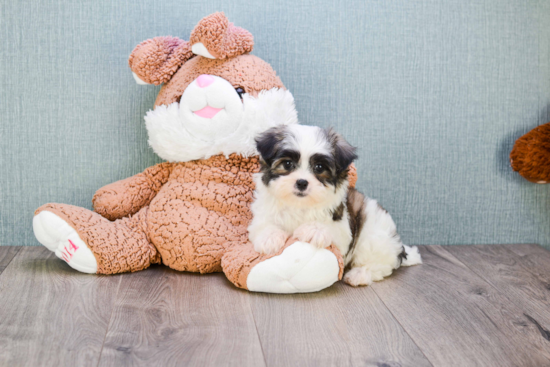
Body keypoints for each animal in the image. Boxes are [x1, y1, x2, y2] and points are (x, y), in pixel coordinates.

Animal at [250, 125, 422, 286]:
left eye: (319, 167)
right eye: (287, 164)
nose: (302, 182)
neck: (300, 204)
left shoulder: (343, 229)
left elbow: (331, 230)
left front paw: (314, 230)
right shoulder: (262, 214)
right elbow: (264, 225)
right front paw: (270, 238)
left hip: (374, 237)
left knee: (378, 264)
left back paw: (359, 274)